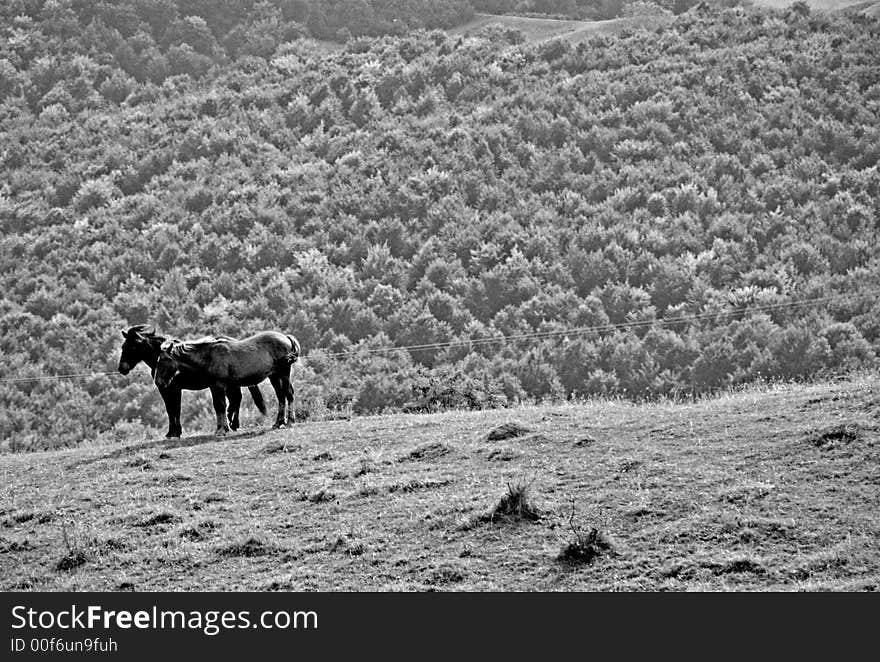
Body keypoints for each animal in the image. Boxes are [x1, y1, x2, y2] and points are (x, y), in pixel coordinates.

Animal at [118, 326, 266, 438]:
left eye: (130, 347)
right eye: (123, 346)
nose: (121, 368)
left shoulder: (171, 389)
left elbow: (173, 409)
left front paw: (173, 432)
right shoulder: (167, 389)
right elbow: (172, 409)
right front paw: (174, 432)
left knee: (236, 399)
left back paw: (232, 423)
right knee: (236, 400)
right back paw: (233, 423)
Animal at [153, 332, 300, 436]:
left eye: (164, 360)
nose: (158, 382)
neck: (209, 357)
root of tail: (286, 337)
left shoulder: (219, 385)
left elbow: (222, 405)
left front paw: (223, 429)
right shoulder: (213, 386)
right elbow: (218, 406)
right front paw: (221, 428)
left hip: (284, 372)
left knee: (288, 393)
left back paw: (290, 421)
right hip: (274, 376)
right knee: (281, 396)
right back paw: (278, 423)